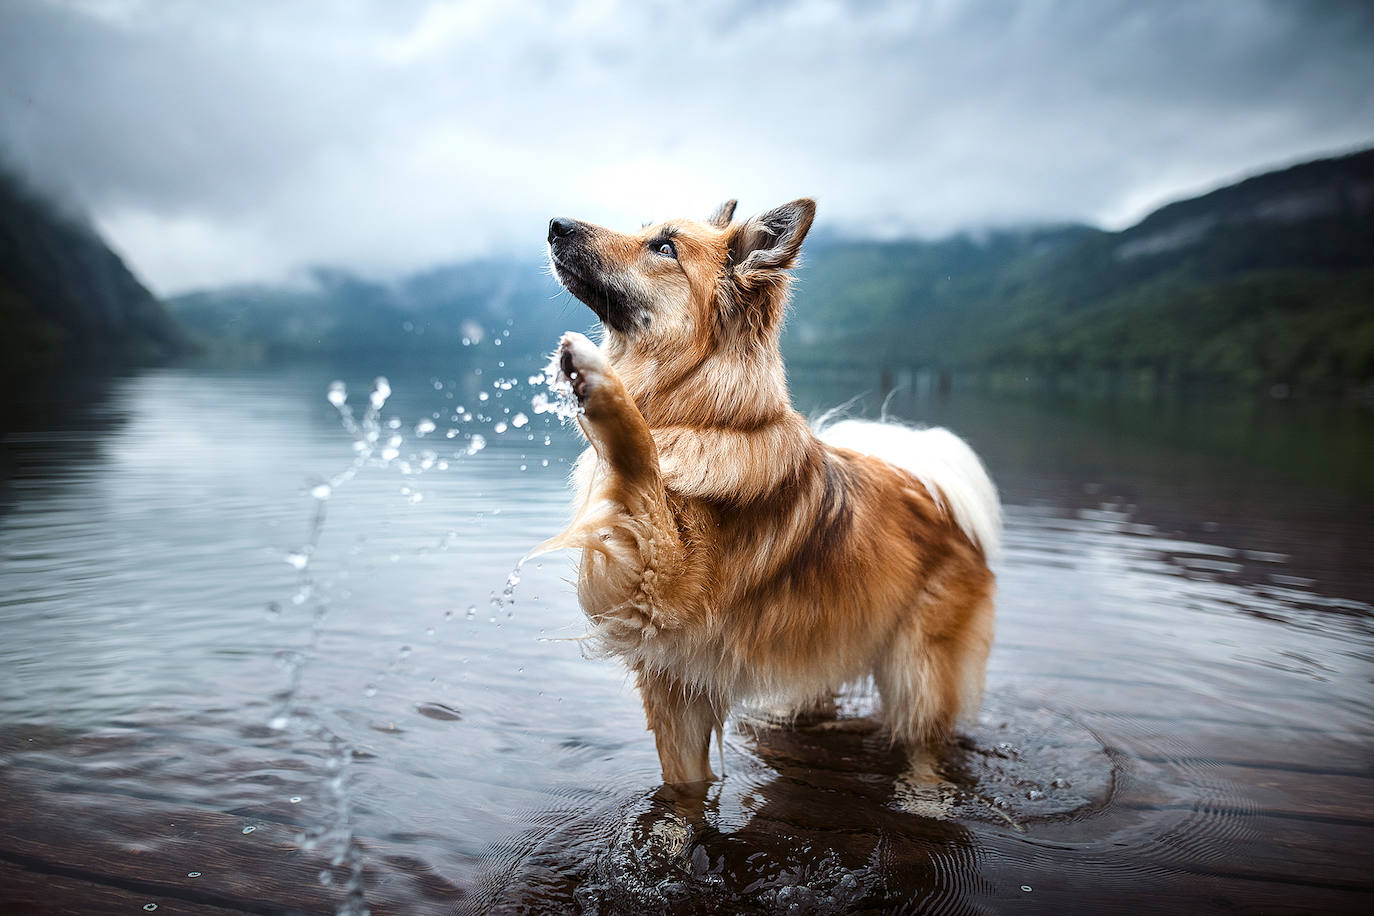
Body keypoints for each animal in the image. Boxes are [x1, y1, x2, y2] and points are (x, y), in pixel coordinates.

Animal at [535, 197, 1000, 785]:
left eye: (664, 247)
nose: (555, 225)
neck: (701, 419)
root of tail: (937, 493)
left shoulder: (666, 589)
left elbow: (638, 454)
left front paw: (602, 386)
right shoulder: (674, 687)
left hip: (920, 677)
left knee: (925, 748)